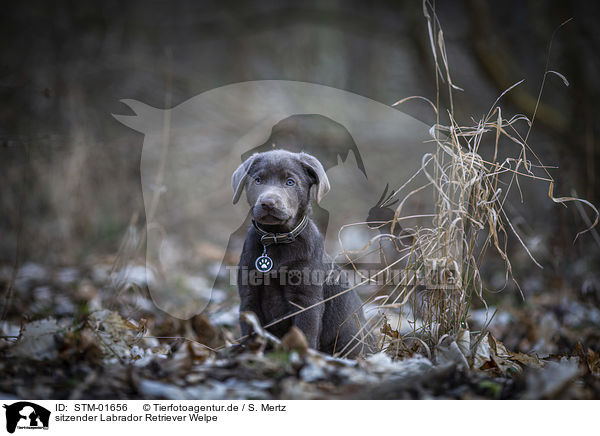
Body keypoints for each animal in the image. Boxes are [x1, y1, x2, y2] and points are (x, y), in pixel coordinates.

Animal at [232, 150, 368, 358]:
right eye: (258, 180)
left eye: (290, 182)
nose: (268, 202)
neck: (275, 239)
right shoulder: (249, 296)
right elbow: (250, 332)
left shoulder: (306, 300)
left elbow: (305, 334)